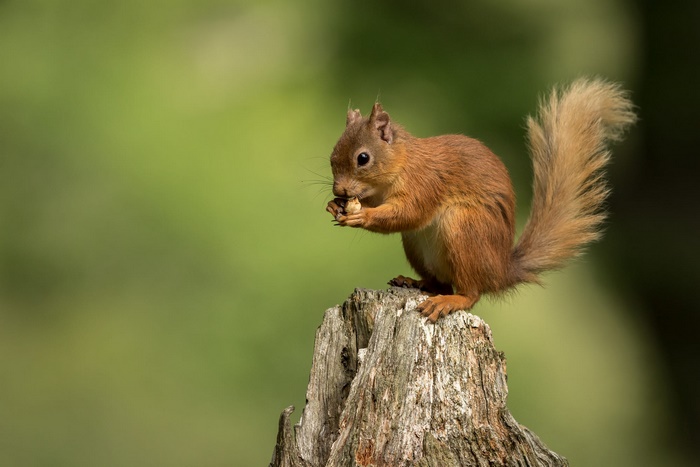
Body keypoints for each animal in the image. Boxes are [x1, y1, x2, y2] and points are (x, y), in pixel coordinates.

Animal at [326, 78, 636, 322]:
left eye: (363, 158)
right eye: (331, 157)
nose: (340, 190)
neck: (400, 165)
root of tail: (501, 271)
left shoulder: (425, 183)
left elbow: (409, 213)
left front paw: (361, 215)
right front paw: (334, 206)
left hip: (464, 230)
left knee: (470, 293)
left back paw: (450, 301)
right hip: (416, 245)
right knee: (441, 283)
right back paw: (414, 282)